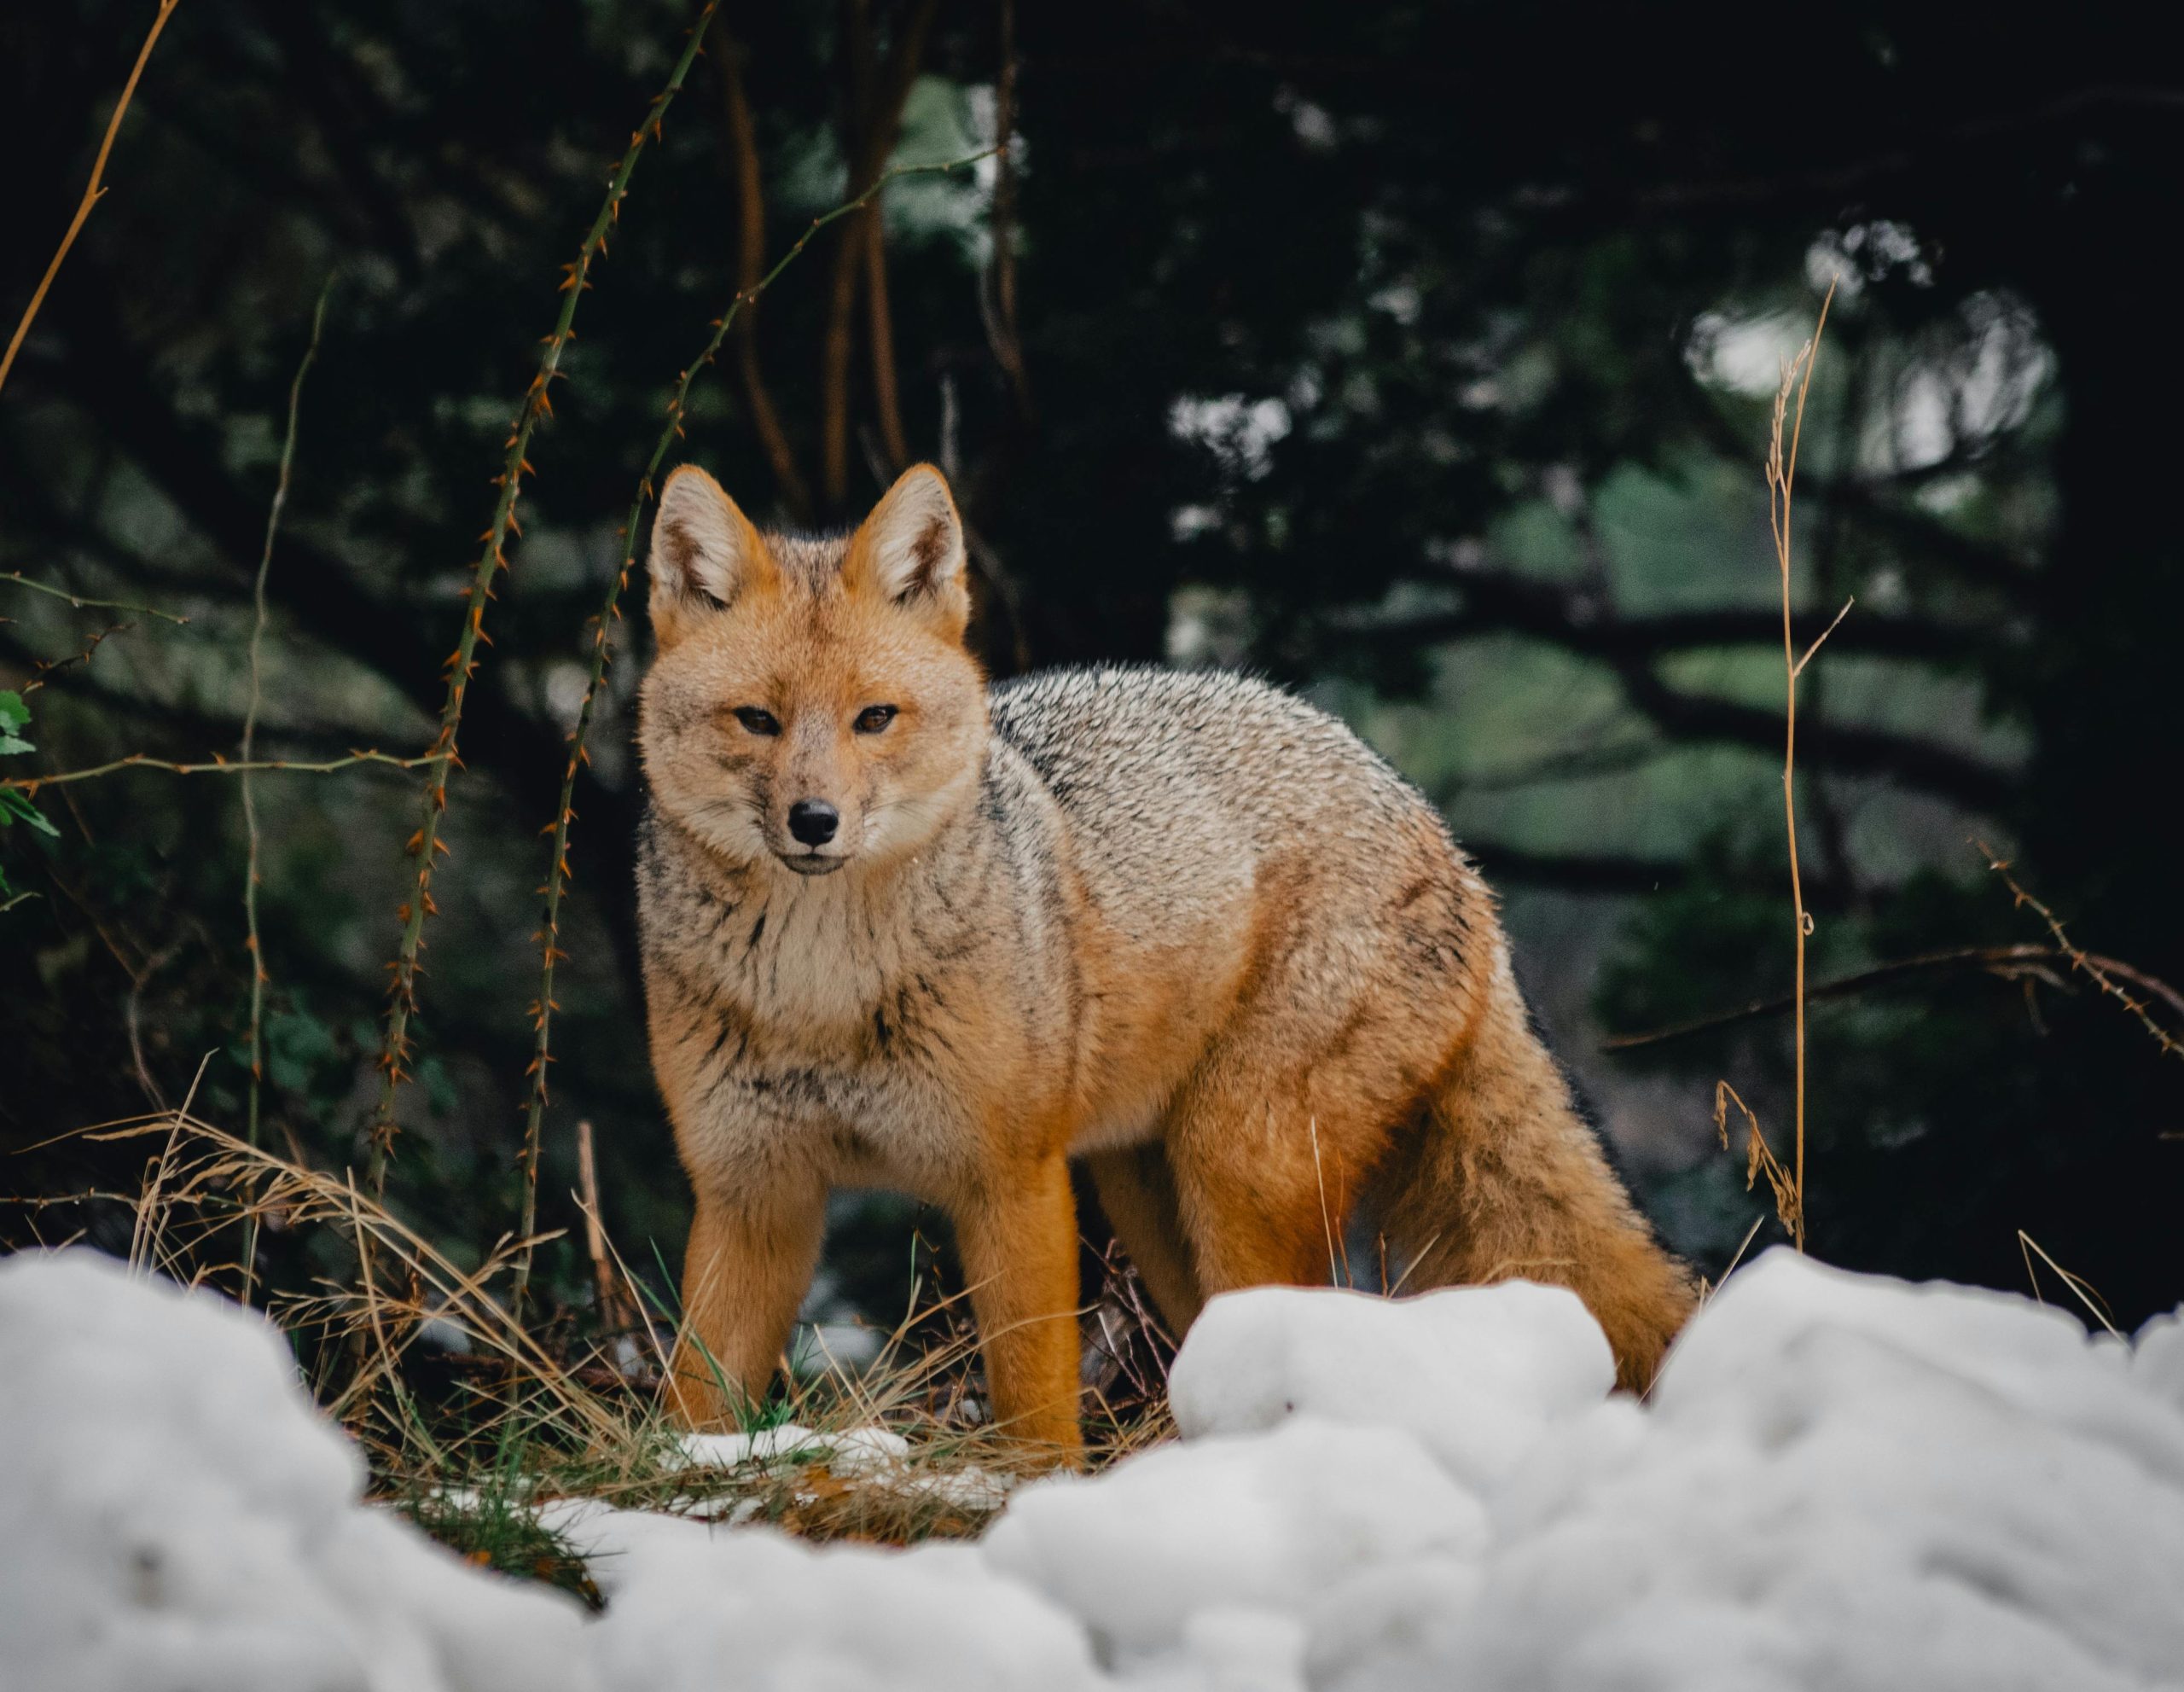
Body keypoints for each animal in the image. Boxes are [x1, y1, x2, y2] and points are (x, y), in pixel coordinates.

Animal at [637, 462, 1694, 1458]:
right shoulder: (749, 1198)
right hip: (1156, 1202)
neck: (822, 996)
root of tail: (1434, 826)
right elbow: (695, 1393)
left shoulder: (1012, 1183)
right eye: (757, 721)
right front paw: (690, 1473)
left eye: (874, 718)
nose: (813, 822)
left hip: (1235, 1172)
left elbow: (1035, 1410)